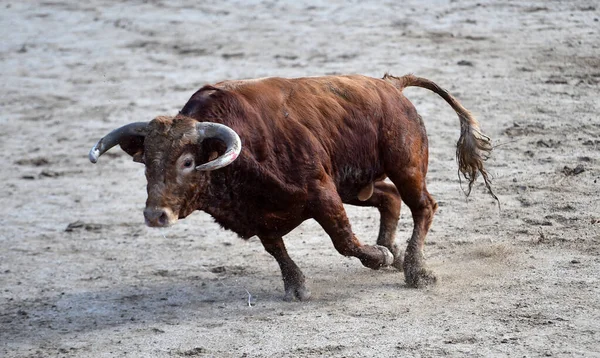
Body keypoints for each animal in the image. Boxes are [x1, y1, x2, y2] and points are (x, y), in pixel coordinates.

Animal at [86, 74, 494, 300]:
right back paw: (393, 251)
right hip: (354, 184)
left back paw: (415, 270)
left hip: (405, 165)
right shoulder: (261, 217)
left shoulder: (321, 193)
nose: (156, 215)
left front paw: (377, 257)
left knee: (422, 205)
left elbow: (344, 240)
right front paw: (296, 287)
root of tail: (390, 86)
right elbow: (277, 251)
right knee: (390, 199)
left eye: (187, 162)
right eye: (147, 164)